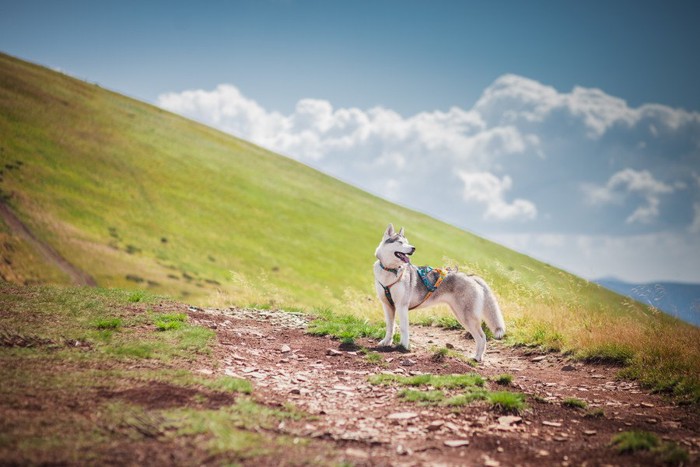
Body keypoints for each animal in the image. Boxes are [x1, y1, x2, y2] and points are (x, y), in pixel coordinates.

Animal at [374, 225, 506, 364]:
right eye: (400, 242)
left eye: (407, 242)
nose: (413, 248)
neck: (390, 270)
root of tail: (471, 277)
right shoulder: (388, 306)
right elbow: (390, 327)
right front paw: (386, 342)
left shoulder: (401, 306)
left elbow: (404, 328)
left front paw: (404, 347)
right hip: (460, 315)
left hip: (466, 317)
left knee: (482, 336)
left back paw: (477, 357)